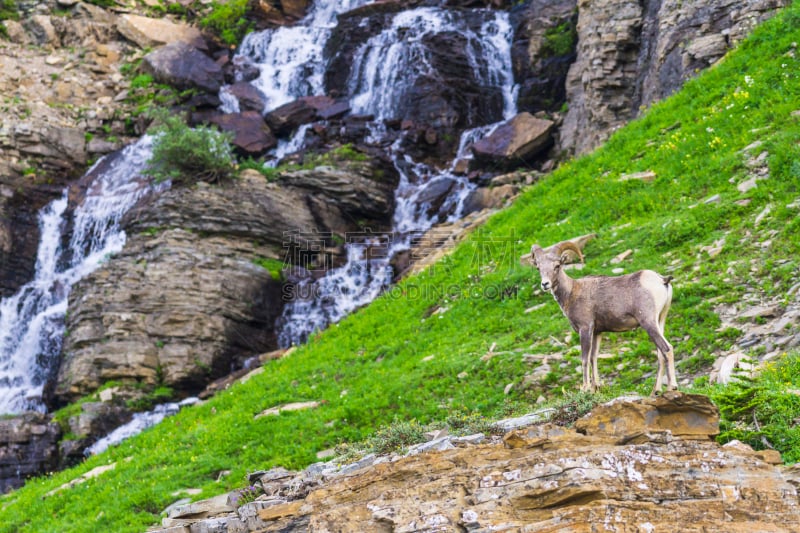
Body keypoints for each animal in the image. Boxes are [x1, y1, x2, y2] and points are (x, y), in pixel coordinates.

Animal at [528, 239, 680, 392]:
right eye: (538, 268)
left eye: (557, 266)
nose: (545, 284)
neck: (571, 293)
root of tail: (662, 280)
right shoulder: (597, 333)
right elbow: (593, 357)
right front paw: (596, 387)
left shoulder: (585, 329)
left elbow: (585, 359)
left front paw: (585, 388)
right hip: (660, 320)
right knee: (660, 353)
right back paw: (656, 391)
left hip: (648, 322)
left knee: (667, 349)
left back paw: (672, 386)